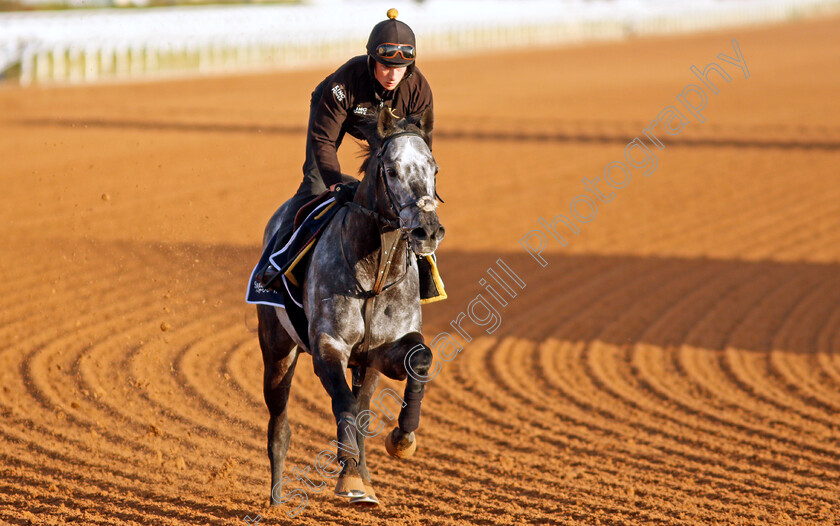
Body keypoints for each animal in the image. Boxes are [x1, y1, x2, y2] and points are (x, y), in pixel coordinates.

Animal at [258, 108, 446, 512]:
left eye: (434, 168)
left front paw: (402, 441)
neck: (374, 273)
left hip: (366, 367)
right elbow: (342, 402)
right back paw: (277, 499)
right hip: (277, 348)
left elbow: (419, 360)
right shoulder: (329, 345)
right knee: (280, 422)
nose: (427, 230)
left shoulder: (382, 350)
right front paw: (350, 480)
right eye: (391, 169)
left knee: (362, 410)